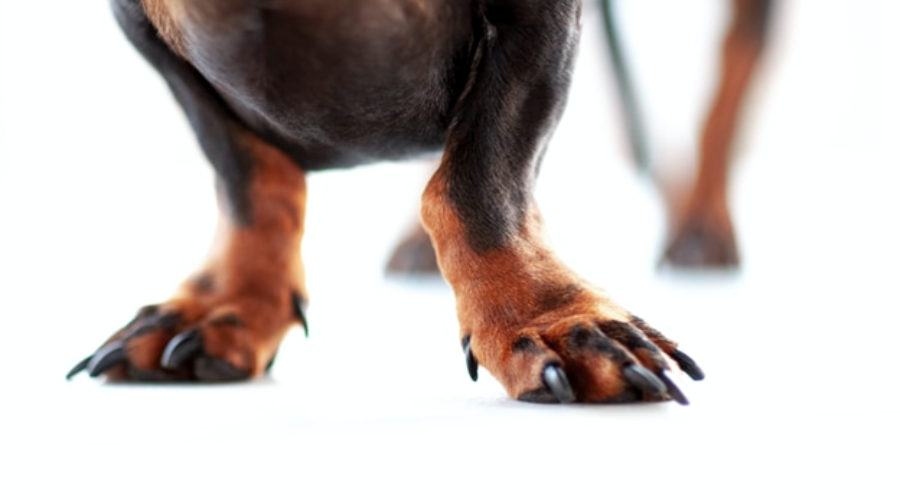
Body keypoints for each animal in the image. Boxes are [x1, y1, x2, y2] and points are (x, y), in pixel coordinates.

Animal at [65, 0, 772, 404]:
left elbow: (477, 178)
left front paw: (547, 318)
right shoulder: (145, 30)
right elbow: (247, 175)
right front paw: (229, 304)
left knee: (740, 57)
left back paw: (702, 225)